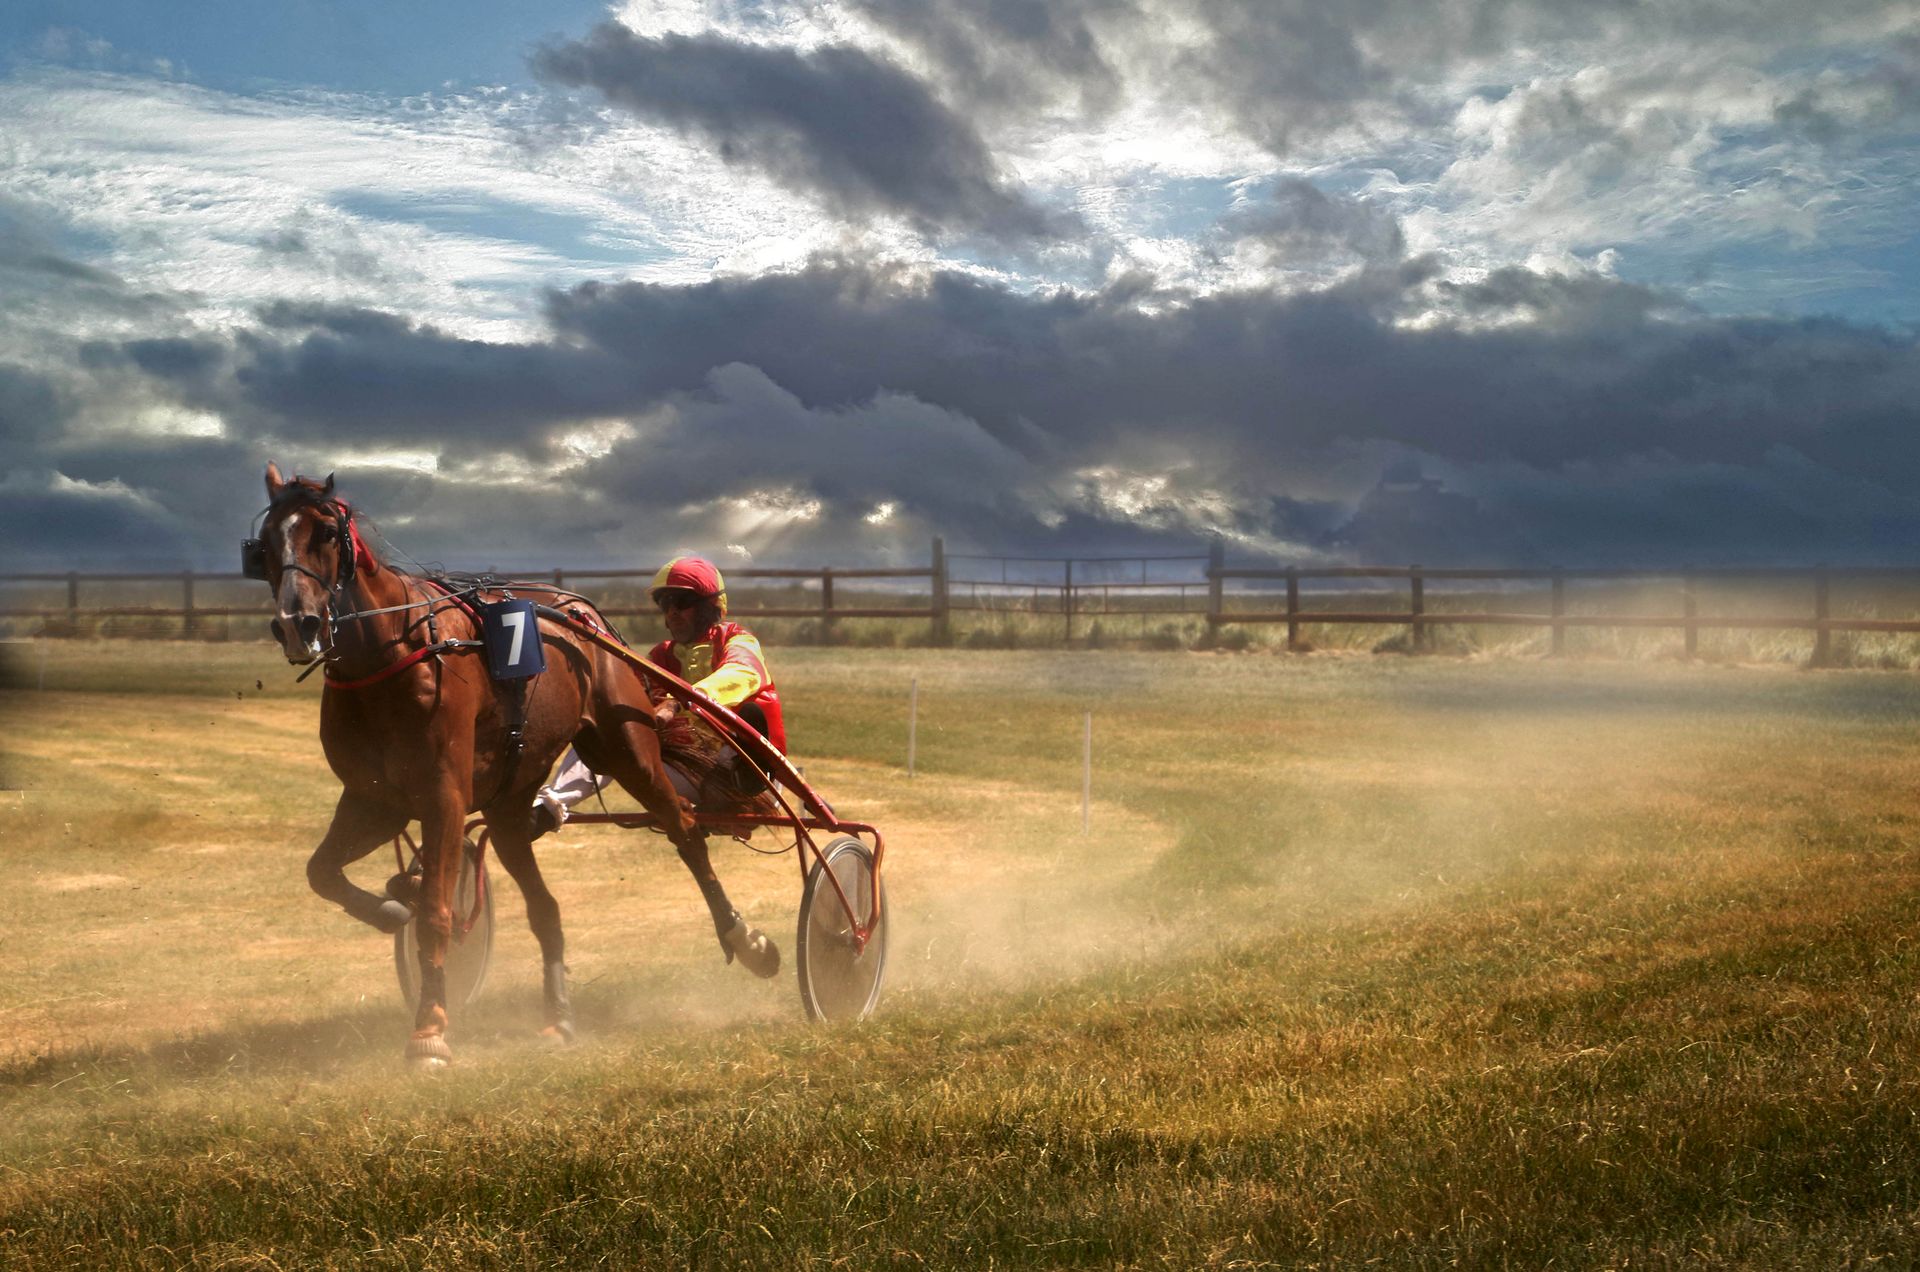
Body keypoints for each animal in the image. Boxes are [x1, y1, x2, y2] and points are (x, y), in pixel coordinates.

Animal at [249, 463, 780, 1069]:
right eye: (262, 546)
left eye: (325, 533)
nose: (298, 622)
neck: (394, 656)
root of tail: (582, 613)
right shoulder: (374, 800)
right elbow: (323, 873)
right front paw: (391, 908)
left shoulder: (443, 796)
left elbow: (436, 912)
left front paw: (429, 1029)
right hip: (508, 805)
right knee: (545, 906)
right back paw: (559, 1015)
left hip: (628, 750)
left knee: (686, 833)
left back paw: (746, 940)